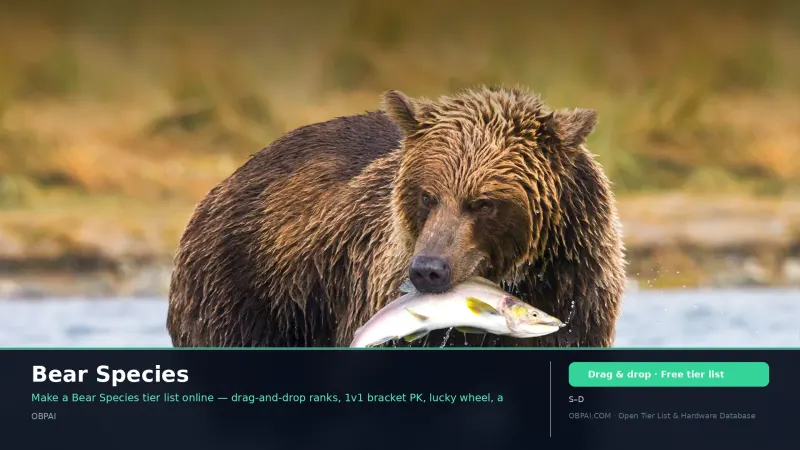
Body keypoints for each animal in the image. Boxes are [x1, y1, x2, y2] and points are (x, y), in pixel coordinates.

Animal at [166, 86, 626, 348]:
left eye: (484, 202)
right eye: (427, 195)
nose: (428, 270)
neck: (524, 274)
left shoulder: (577, 294)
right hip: (246, 289)